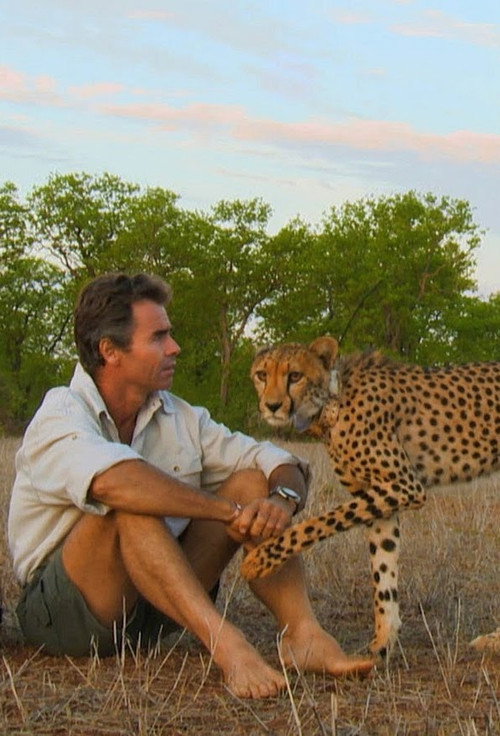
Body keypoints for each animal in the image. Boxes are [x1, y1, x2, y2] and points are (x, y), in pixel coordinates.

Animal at [241, 336, 499, 657]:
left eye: (295, 376)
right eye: (262, 375)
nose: (272, 405)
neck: (332, 402)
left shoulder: (404, 486)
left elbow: (318, 524)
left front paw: (259, 560)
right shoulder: (381, 501)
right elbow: (383, 569)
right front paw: (382, 642)